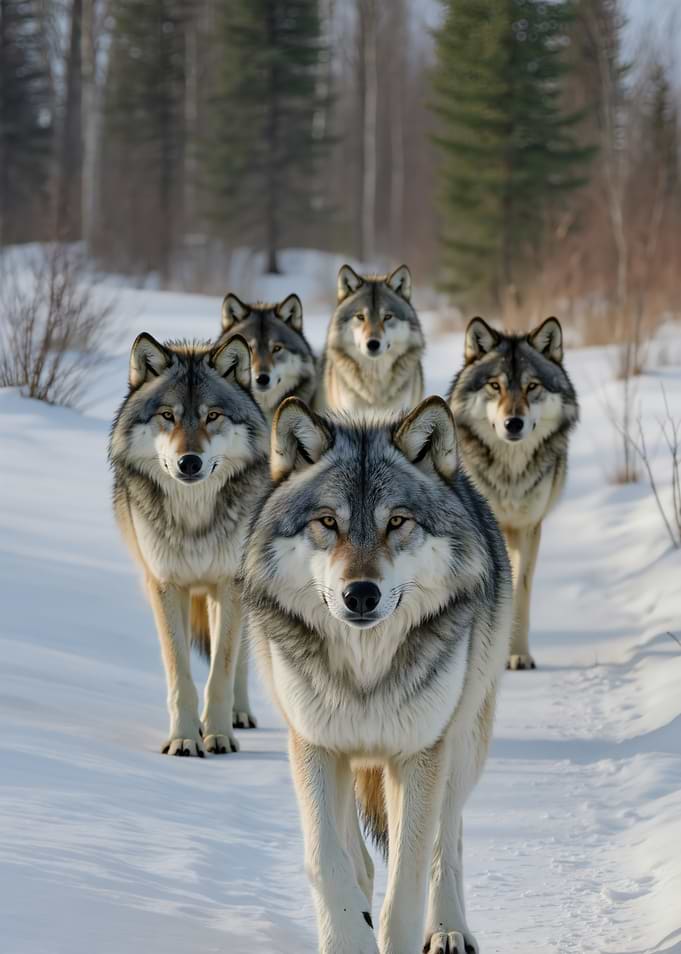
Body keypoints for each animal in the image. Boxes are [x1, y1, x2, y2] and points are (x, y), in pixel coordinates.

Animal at [109, 333, 269, 756]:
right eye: (168, 415)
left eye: (212, 416)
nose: (190, 463)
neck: (194, 518)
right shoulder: (166, 585)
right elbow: (179, 672)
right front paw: (184, 738)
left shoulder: (229, 584)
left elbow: (222, 670)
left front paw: (218, 735)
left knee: (240, 658)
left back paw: (239, 715)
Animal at [243, 396, 512, 954]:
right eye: (328, 521)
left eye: (397, 522)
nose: (361, 594)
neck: (366, 673)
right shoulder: (315, 745)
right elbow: (328, 863)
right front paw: (348, 936)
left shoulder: (420, 753)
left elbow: (409, 877)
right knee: (360, 858)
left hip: (462, 744)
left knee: (448, 839)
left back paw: (449, 929)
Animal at [448, 317, 579, 671]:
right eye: (495, 386)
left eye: (532, 386)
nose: (514, 423)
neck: (510, 473)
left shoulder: (528, 528)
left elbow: (520, 593)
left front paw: (518, 654)